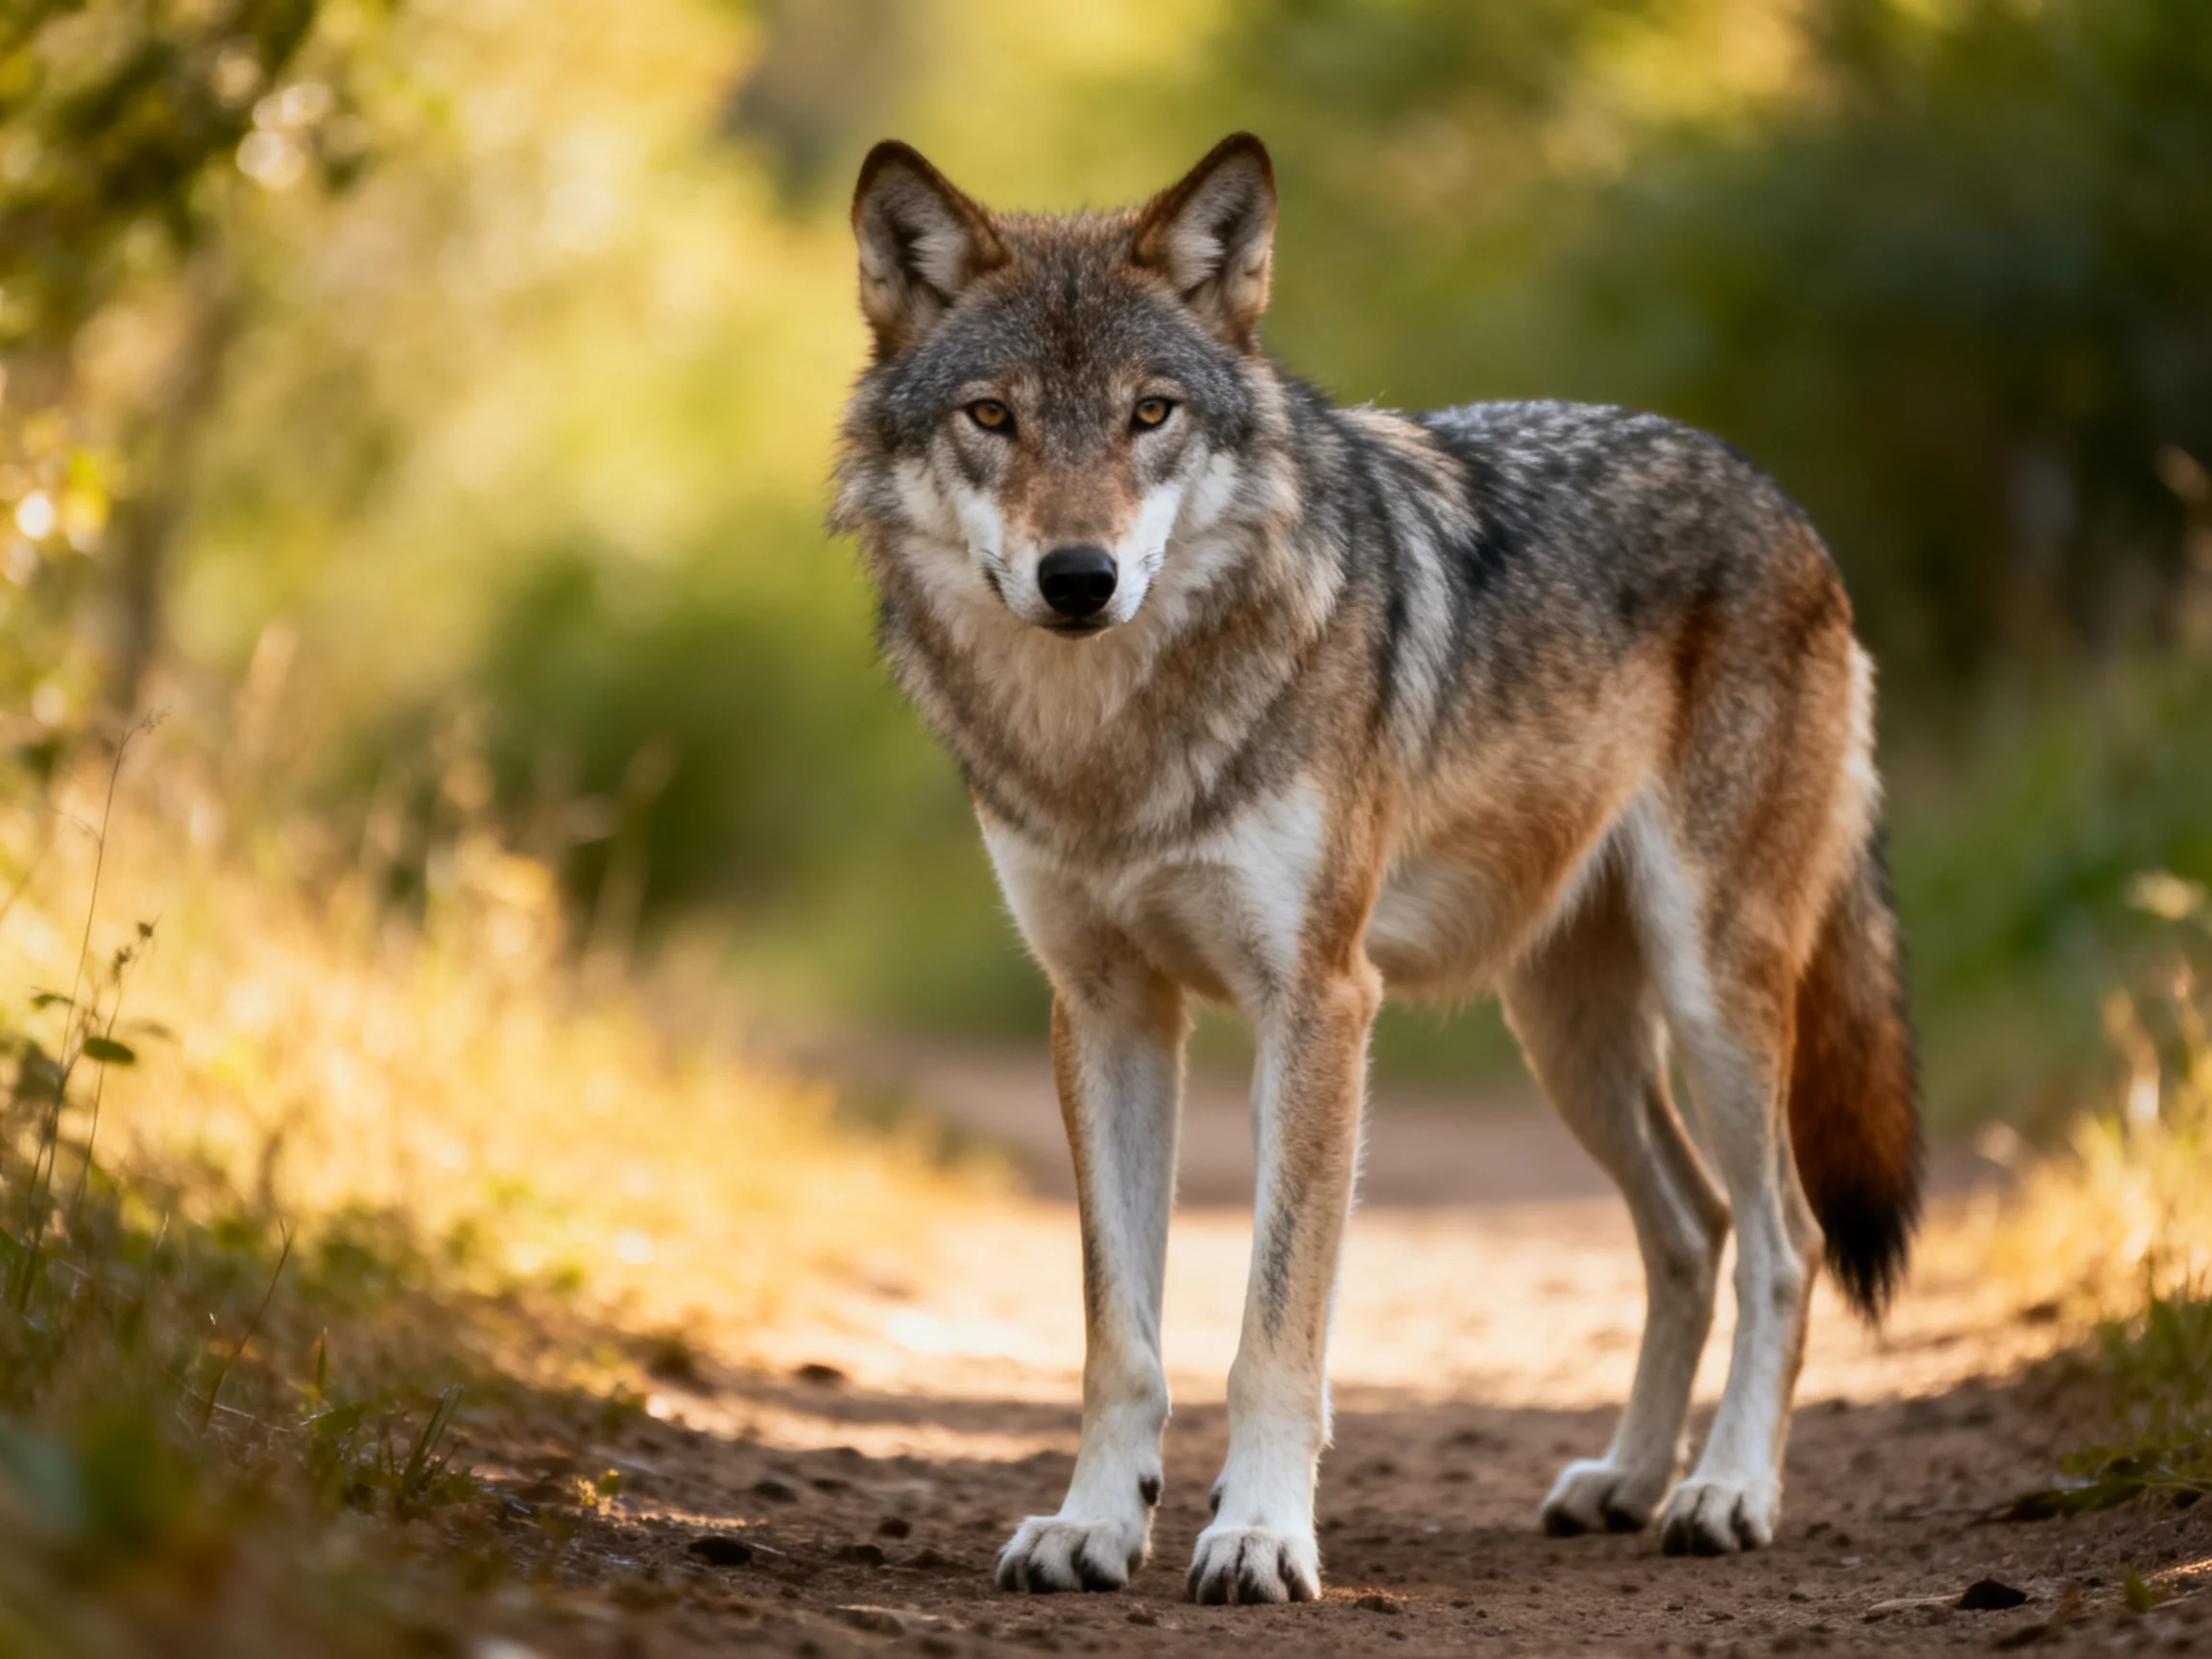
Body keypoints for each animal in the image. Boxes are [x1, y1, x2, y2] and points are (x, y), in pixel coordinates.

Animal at [831, 132, 1921, 1605]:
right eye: (992, 418)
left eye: (1150, 414)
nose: (1079, 576)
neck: (1112, 745)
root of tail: (1777, 496)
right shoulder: (1109, 1011)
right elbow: (1122, 1334)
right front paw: (1093, 1524)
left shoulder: (1321, 1003)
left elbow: (1276, 1326)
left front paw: (1258, 1534)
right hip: (1567, 1035)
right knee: (1694, 1229)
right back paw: (1626, 1482)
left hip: (1714, 999)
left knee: (1785, 1241)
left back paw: (1727, 1491)